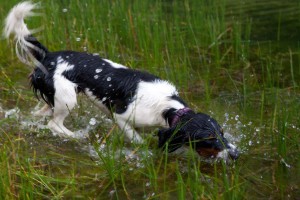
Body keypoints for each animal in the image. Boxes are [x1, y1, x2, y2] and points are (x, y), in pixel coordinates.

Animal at [3, 1, 238, 161]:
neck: (167, 107)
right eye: (208, 138)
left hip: (56, 98)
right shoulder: (122, 117)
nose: (235, 154)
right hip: (67, 99)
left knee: (43, 113)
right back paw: (76, 136)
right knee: (54, 124)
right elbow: (138, 140)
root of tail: (49, 56)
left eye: (222, 133)